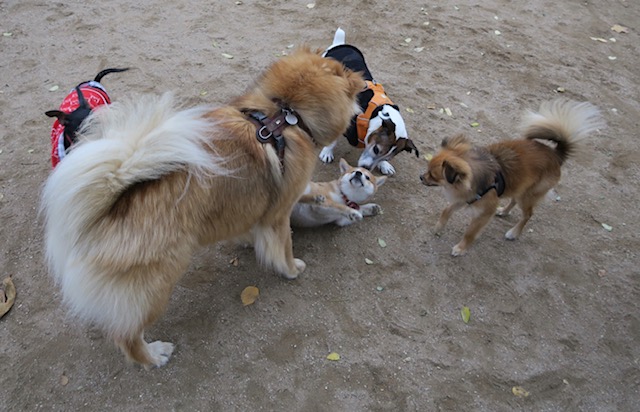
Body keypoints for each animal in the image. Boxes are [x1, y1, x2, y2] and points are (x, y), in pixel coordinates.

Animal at [41, 47, 364, 366]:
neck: (286, 114)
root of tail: (108, 203)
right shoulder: (279, 215)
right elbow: (283, 248)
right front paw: (292, 269)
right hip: (156, 283)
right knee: (127, 336)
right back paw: (154, 356)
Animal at [320, 27, 420, 175]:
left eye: (387, 157)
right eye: (376, 149)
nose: (366, 169)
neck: (374, 114)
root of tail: (340, 44)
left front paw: (384, 165)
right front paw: (327, 152)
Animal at [422, 99, 604, 254]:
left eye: (433, 175)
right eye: (427, 169)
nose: (420, 177)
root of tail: (556, 154)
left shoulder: (484, 211)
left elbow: (470, 233)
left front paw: (461, 248)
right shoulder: (465, 198)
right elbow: (446, 211)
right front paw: (438, 228)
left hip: (528, 196)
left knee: (528, 215)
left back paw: (514, 233)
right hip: (520, 187)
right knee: (515, 200)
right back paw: (504, 211)